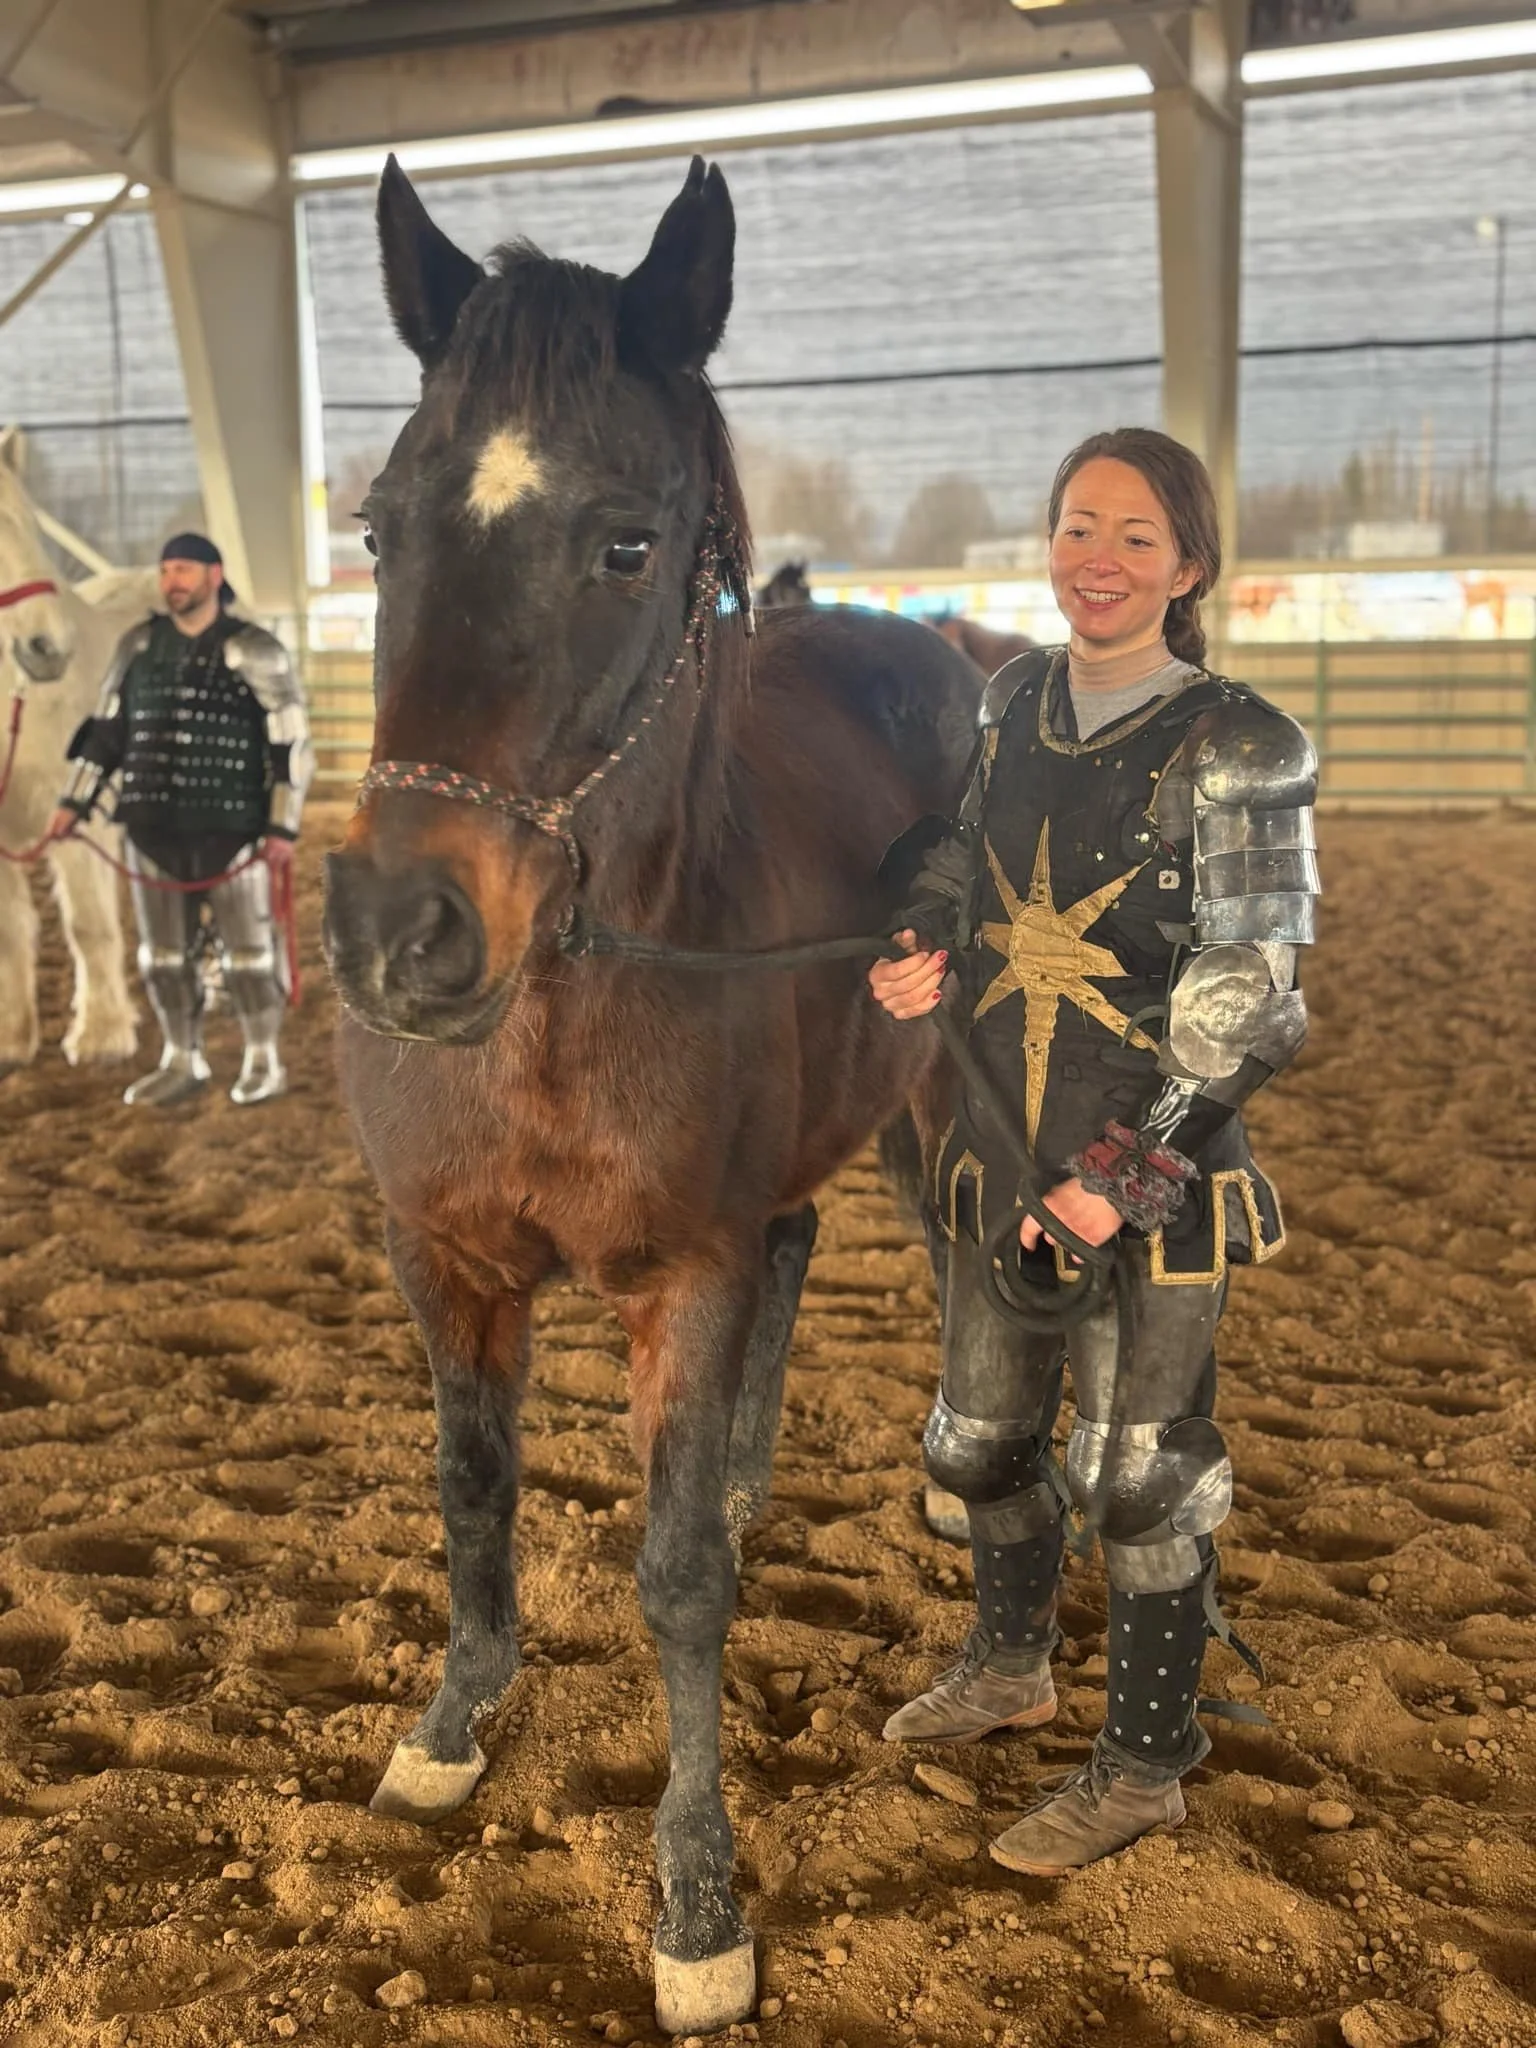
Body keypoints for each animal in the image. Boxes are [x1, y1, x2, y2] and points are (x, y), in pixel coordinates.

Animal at [322, 156, 982, 2037]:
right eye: (380, 530)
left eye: (627, 542)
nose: (399, 931)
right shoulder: (444, 1264)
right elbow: (474, 1492)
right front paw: (451, 1723)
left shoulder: (677, 1276)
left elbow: (680, 1582)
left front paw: (697, 1905)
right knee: (799, 1252)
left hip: (937, 1095)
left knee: (951, 1259)